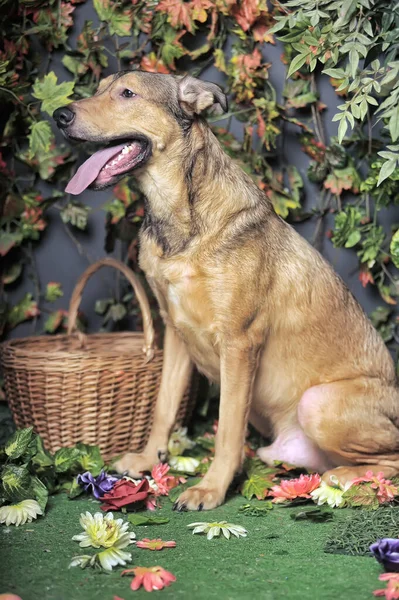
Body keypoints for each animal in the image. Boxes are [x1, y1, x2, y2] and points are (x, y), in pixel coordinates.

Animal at [54, 70, 399, 510]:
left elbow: (227, 429)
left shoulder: (239, 343)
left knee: (389, 461)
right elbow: (164, 408)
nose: (59, 115)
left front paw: (210, 488)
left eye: (127, 93)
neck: (181, 218)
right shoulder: (175, 334)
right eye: (99, 88)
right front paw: (149, 459)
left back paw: (345, 478)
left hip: (320, 403)